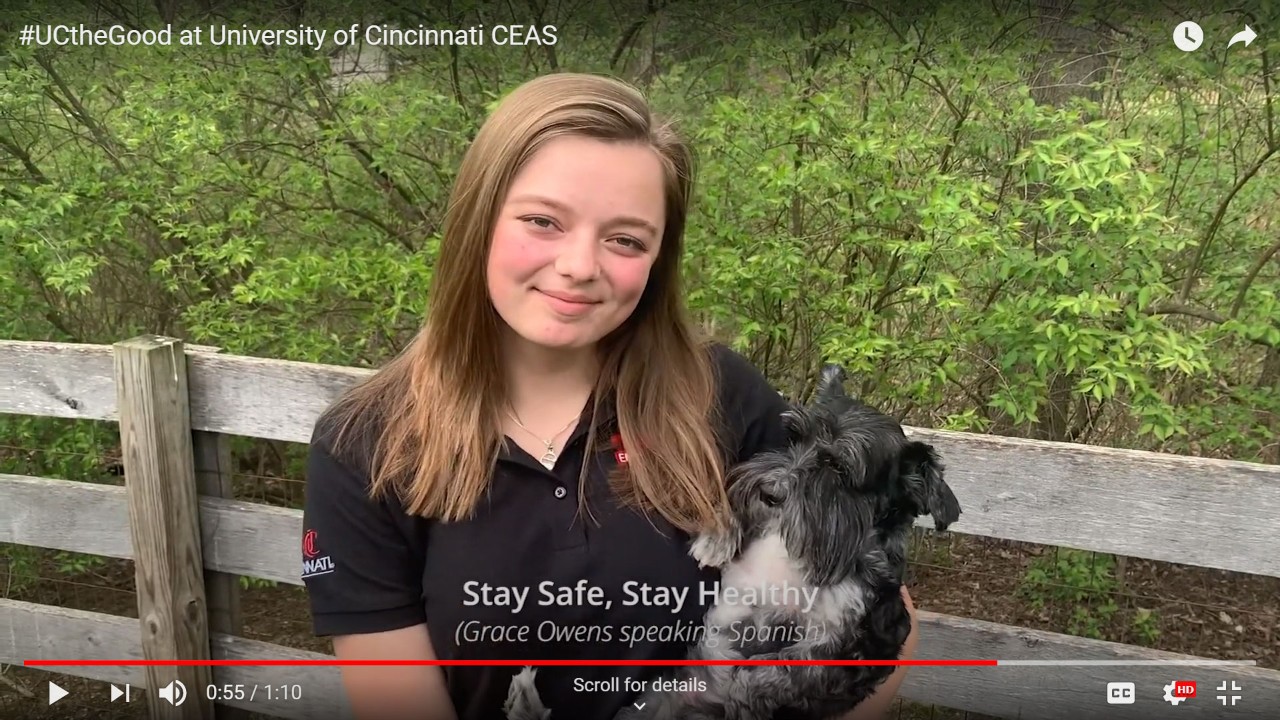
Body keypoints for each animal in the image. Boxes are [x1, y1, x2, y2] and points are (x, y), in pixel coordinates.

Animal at [504, 366, 962, 712]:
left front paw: (745, 690)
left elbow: (778, 670)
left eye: (838, 467)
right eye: (794, 436)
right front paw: (717, 537)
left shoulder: (858, 647)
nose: (770, 493)